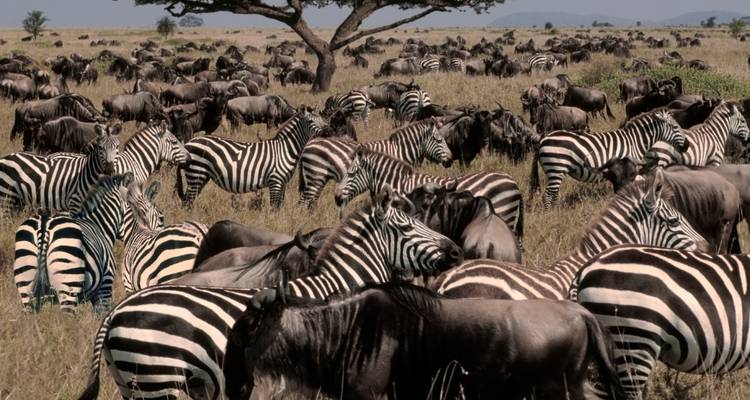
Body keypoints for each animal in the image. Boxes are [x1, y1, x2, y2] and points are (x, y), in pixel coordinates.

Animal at [176, 109, 327, 208]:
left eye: (322, 119)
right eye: (310, 121)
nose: (327, 131)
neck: (285, 149)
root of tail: (189, 143)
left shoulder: (283, 183)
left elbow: (280, 206)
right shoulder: (275, 181)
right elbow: (274, 207)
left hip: (202, 176)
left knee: (188, 200)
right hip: (196, 173)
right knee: (187, 201)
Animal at [298, 118, 452, 207]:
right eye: (439, 140)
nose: (450, 160)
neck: (399, 150)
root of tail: (308, 145)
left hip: (317, 178)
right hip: (316, 176)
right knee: (306, 202)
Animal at [529, 110, 688, 209]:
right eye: (675, 127)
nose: (687, 145)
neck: (634, 141)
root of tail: (543, 138)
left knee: (553, 195)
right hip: (556, 168)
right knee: (548, 196)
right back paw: (551, 214)